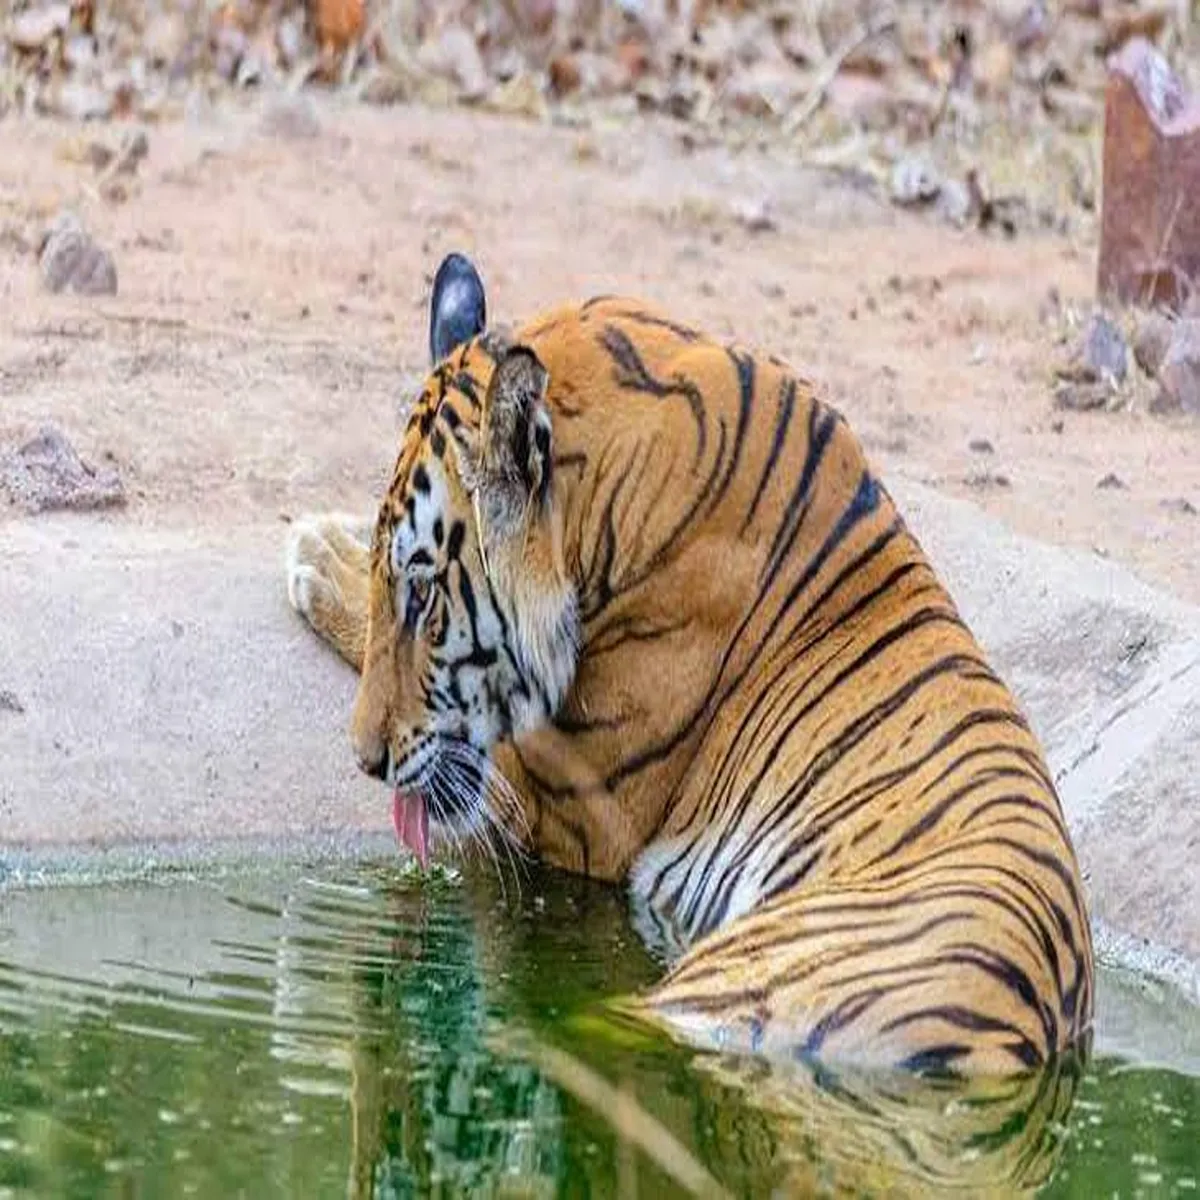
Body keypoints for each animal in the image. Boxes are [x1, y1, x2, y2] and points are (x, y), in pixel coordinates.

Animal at [286, 251, 1094, 1076]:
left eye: (421, 593)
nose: (367, 761)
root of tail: (1013, 1043)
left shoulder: (577, 811)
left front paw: (320, 554)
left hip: (717, 983)